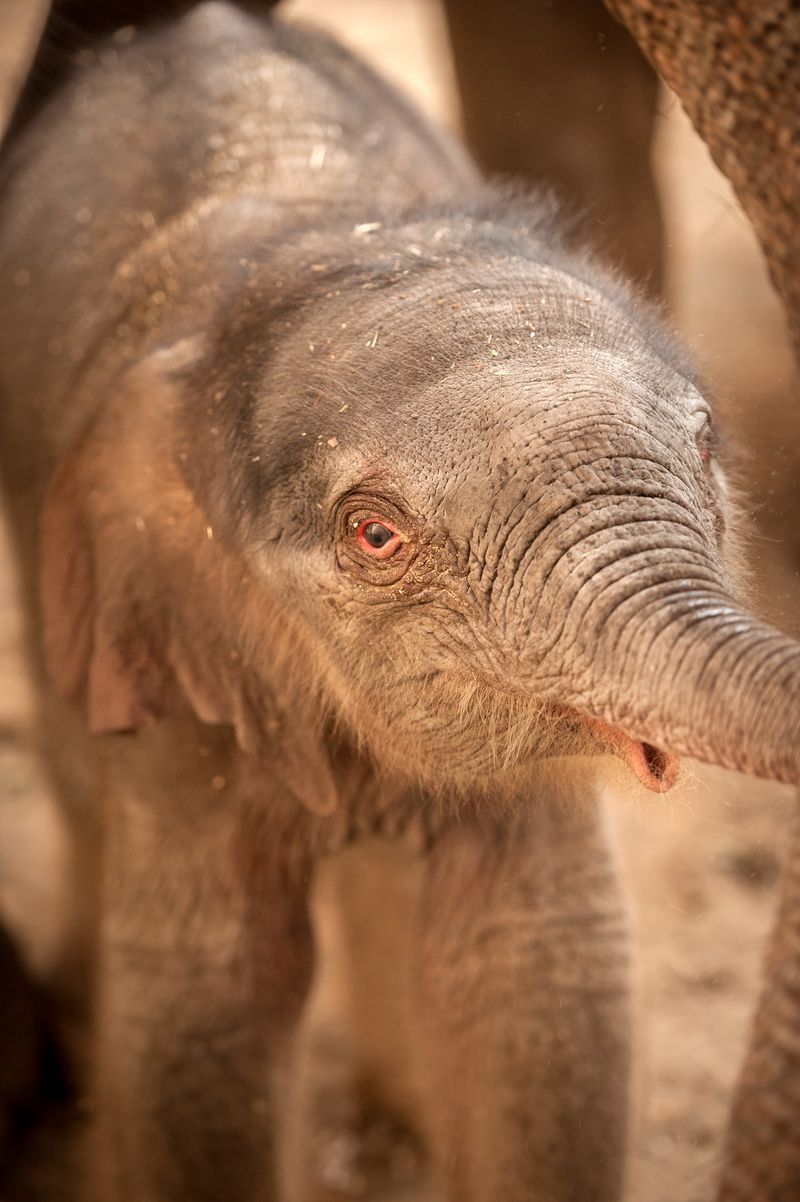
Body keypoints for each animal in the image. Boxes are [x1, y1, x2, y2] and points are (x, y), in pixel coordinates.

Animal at [0, 2, 792, 1202]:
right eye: (373, 534)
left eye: (704, 448)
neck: (320, 243)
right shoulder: (171, 647)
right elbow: (208, 992)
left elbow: (537, 959)